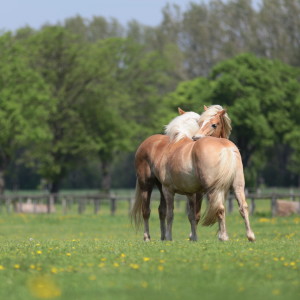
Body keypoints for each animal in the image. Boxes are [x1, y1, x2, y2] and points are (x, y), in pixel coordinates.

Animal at [132, 105, 255, 241]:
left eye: (214, 125)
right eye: (200, 123)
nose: (196, 138)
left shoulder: (172, 190)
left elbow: (174, 214)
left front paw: (175, 237)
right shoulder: (192, 192)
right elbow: (192, 215)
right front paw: (193, 237)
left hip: (152, 186)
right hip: (237, 186)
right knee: (243, 207)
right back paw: (250, 236)